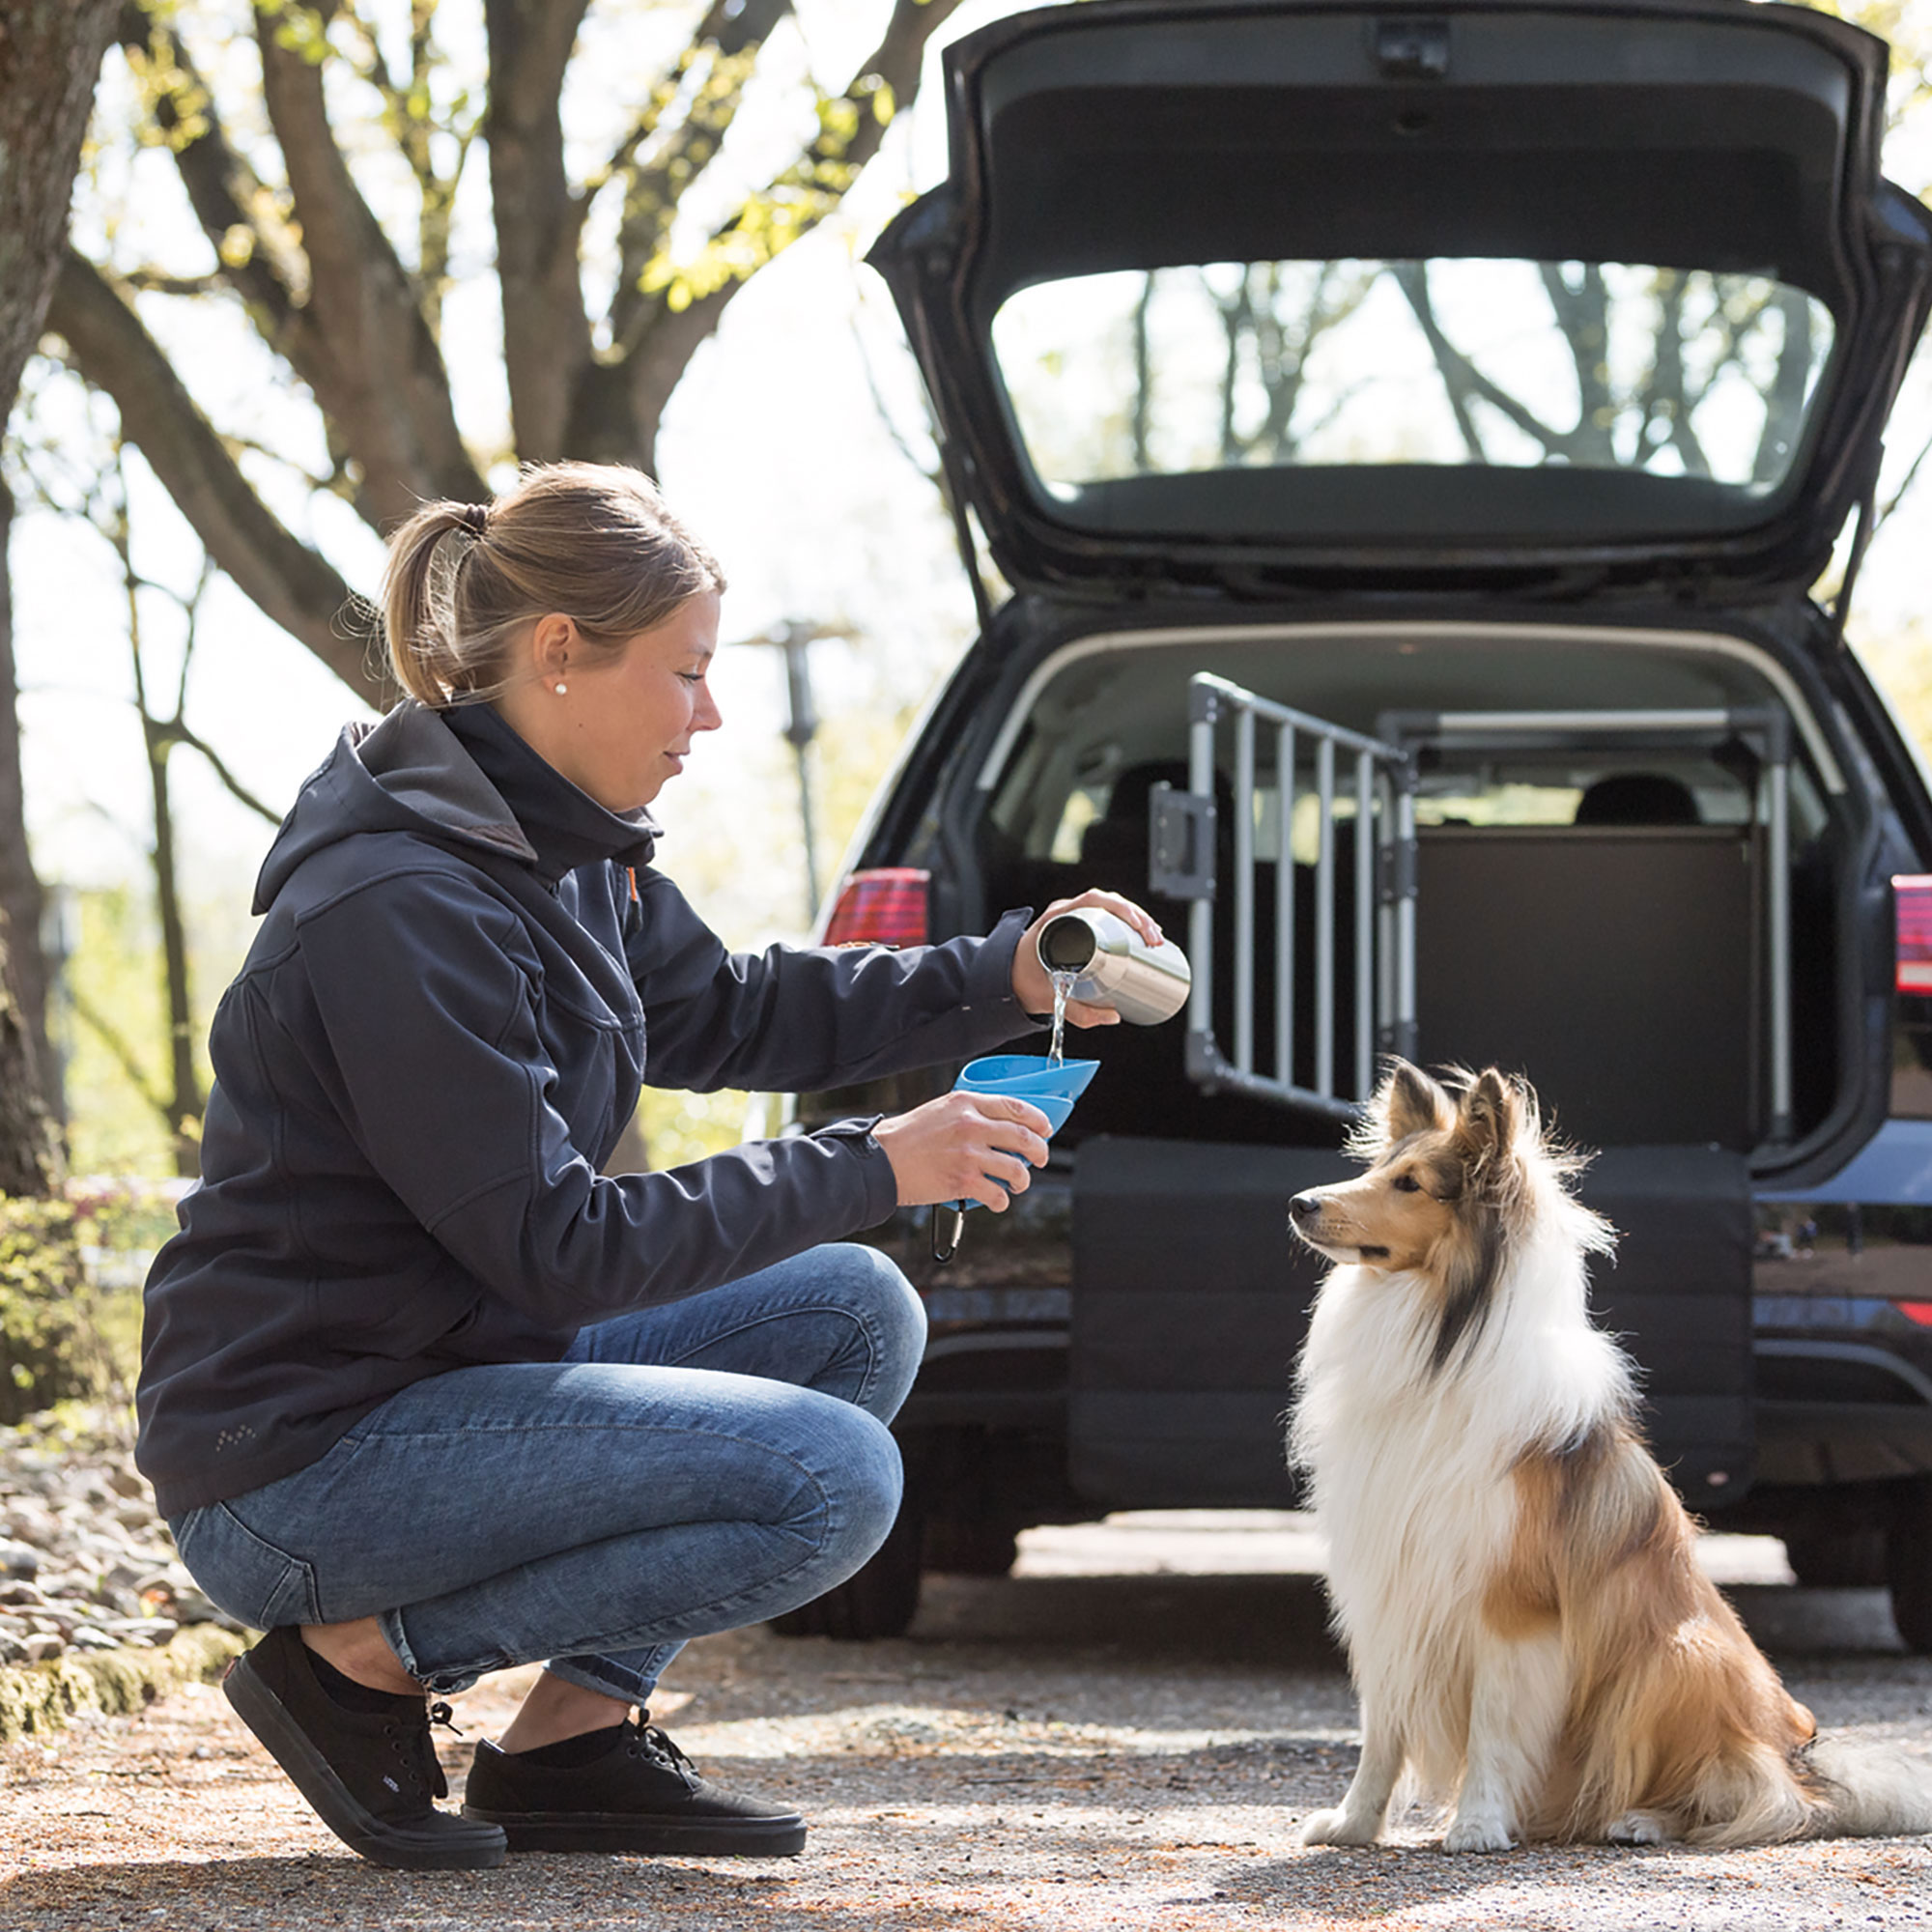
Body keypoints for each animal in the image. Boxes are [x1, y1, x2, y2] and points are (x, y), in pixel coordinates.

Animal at [1283, 1066, 1932, 1847]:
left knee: (1749, 1791)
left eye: (1410, 1184)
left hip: (1671, 1658)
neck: (1439, 1336)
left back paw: (1642, 1818)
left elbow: (1494, 1724)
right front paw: (1353, 1823)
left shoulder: (1510, 1602)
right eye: (1378, 1170)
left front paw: (1478, 1825)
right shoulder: (1390, 1591)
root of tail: (1804, 1758)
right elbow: (1382, 1728)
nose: (1299, 1204)